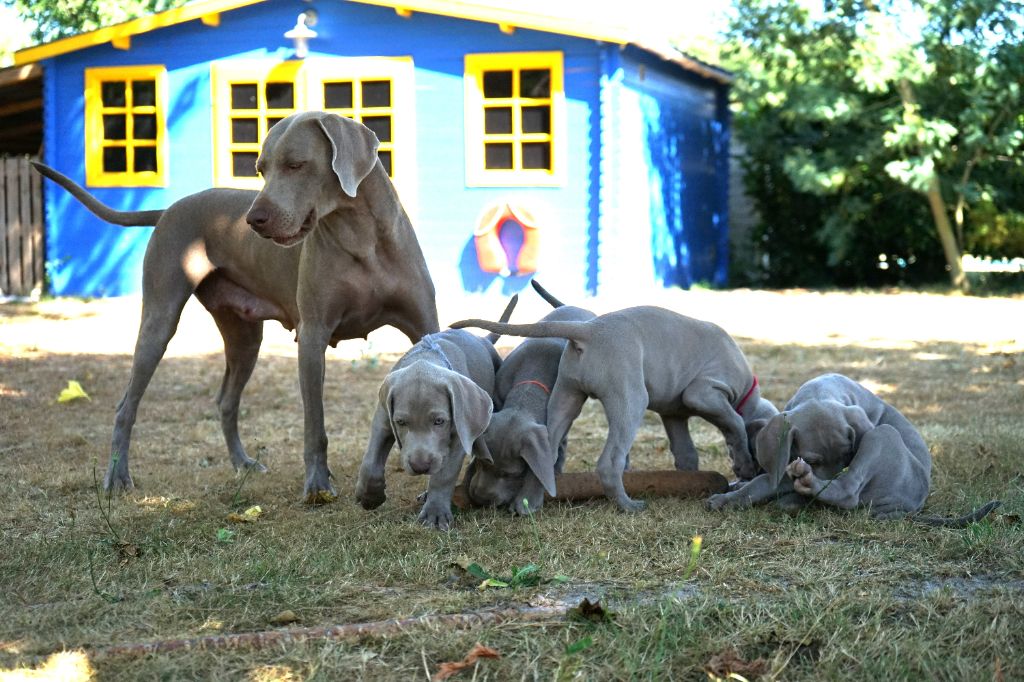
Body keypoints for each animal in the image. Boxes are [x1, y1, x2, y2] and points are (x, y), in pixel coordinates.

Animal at [33, 111, 436, 499]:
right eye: (260, 169)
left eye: (296, 165)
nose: (253, 220)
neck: (360, 237)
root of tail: (168, 210)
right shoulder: (312, 337)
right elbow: (314, 424)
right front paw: (317, 485)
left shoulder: (424, 326)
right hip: (160, 320)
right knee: (126, 406)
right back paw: (117, 476)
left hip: (244, 337)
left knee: (226, 400)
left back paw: (243, 463)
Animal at [356, 296, 516, 524]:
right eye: (401, 422)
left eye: (439, 421)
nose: (420, 467)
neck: (426, 359)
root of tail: (484, 340)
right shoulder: (383, 419)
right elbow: (370, 462)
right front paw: (370, 497)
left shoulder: (460, 432)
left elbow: (444, 474)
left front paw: (435, 514)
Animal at [462, 278, 598, 512]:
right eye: (481, 462)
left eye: (510, 474)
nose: (480, 499)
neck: (529, 388)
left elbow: (545, 457)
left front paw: (528, 497)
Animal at [704, 372, 999, 520]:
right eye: (814, 460)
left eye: (847, 457)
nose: (810, 476)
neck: (819, 392)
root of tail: (910, 505)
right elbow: (761, 482)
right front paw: (730, 496)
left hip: (882, 435)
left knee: (848, 492)